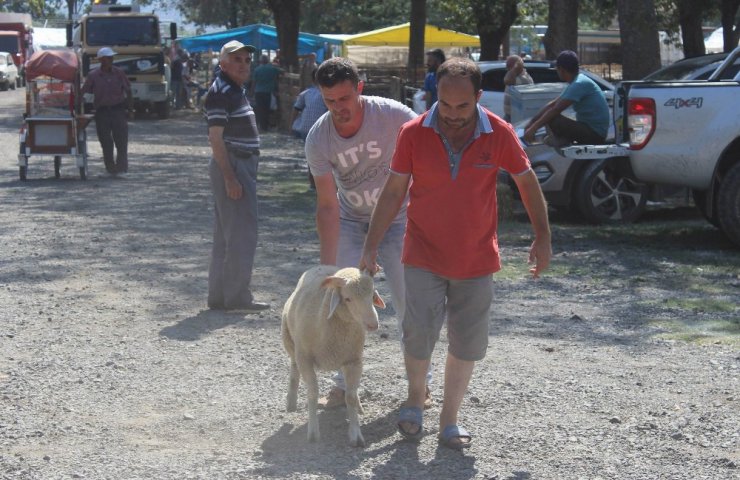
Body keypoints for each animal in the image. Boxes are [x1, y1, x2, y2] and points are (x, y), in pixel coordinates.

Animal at [282, 266, 388, 446]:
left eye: (372, 295)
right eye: (348, 298)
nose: (373, 324)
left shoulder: (354, 360)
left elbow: (350, 397)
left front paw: (355, 434)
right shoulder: (305, 359)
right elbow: (313, 393)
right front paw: (313, 433)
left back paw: (359, 406)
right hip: (290, 341)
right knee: (294, 366)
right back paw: (291, 401)